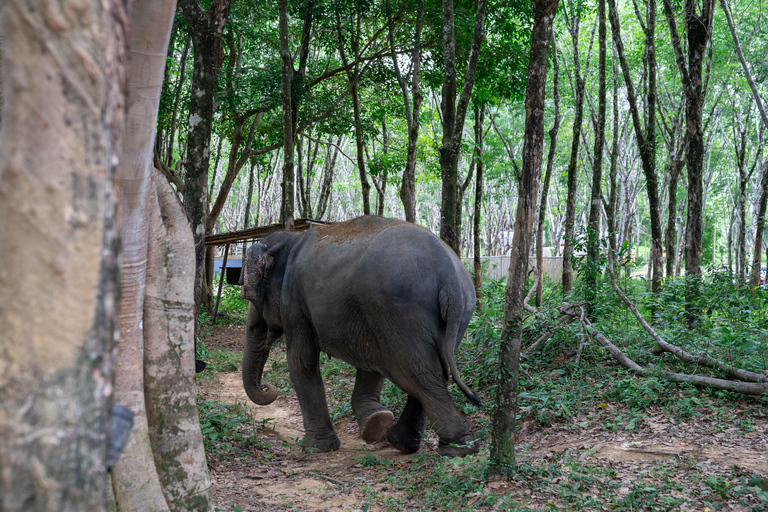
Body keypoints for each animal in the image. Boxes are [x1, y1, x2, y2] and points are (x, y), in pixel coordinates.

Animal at [239, 216, 480, 457]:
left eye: (247, 295)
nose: (268, 387)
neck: (291, 238)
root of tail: (450, 277)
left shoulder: (294, 301)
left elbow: (302, 361)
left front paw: (315, 448)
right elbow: (372, 361)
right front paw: (376, 421)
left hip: (400, 309)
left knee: (418, 375)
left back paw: (456, 450)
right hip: (454, 313)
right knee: (434, 371)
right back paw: (410, 443)